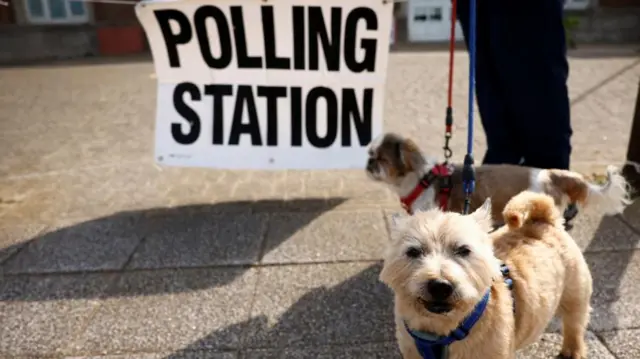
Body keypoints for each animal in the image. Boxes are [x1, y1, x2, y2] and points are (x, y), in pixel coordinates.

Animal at [380, 191, 596, 359]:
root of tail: (543, 220)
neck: (441, 330)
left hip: (575, 296)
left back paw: (572, 351)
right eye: (413, 252)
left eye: (463, 250)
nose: (440, 286)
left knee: (575, 326)